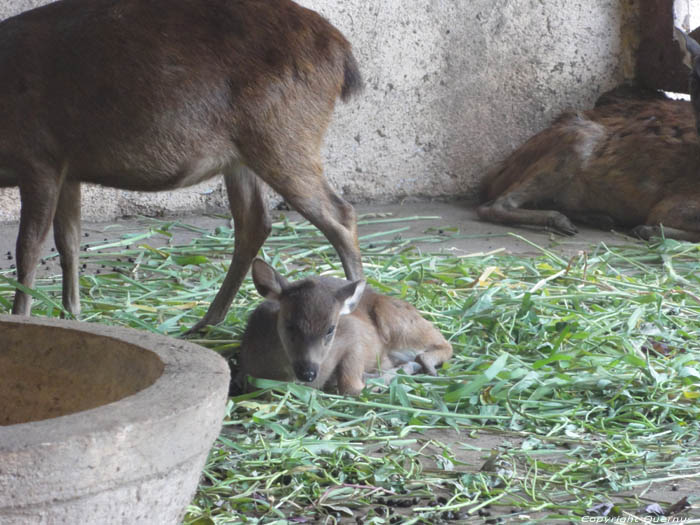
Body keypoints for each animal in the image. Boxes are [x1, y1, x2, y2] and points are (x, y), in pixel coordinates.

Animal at [0, 0, 360, 332]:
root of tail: (343, 55)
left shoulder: (39, 158)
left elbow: (28, 247)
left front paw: (21, 316)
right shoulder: (67, 166)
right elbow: (69, 242)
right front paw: (71, 315)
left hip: (285, 137)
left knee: (340, 215)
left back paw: (352, 306)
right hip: (244, 155)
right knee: (255, 222)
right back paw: (207, 320)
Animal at [234, 258, 454, 392]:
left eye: (331, 328)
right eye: (289, 324)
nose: (308, 372)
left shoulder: (353, 337)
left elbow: (352, 387)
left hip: (397, 321)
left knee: (443, 343)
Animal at [476, 28, 700, 242]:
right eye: (692, 77)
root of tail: (496, 174)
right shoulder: (669, 204)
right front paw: (647, 230)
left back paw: (599, 218)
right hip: (580, 138)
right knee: (493, 205)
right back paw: (562, 221)